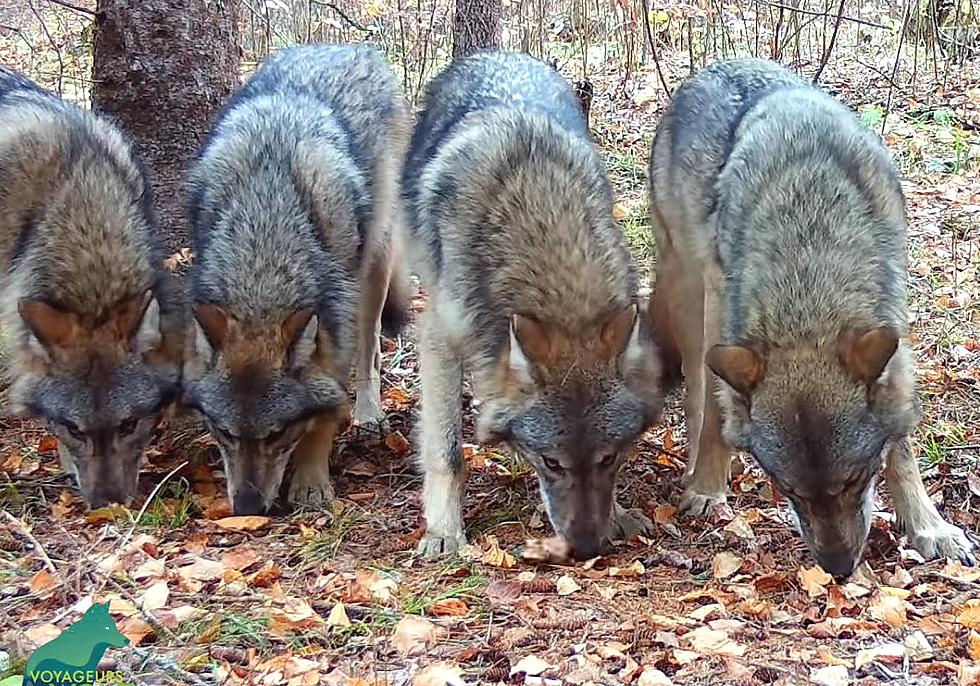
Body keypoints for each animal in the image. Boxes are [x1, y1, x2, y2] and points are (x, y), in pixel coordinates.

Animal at [184, 44, 410, 516]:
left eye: (277, 433)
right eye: (225, 433)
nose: (247, 507)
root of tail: (347, 47)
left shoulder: (334, 321)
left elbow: (324, 412)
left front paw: (310, 482)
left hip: (374, 267)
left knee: (371, 347)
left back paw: (368, 414)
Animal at [402, 51, 664, 560]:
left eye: (608, 458)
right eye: (551, 462)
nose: (587, 548)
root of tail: (495, 54)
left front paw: (619, 514)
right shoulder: (440, 334)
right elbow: (447, 450)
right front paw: (444, 531)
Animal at [648, 59, 976, 576]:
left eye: (856, 479)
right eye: (789, 489)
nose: (839, 568)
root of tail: (713, 67)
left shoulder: (892, 319)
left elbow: (902, 446)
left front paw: (928, 527)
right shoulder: (723, 304)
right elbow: (718, 412)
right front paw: (707, 486)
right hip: (688, 290)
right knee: (698, 385)